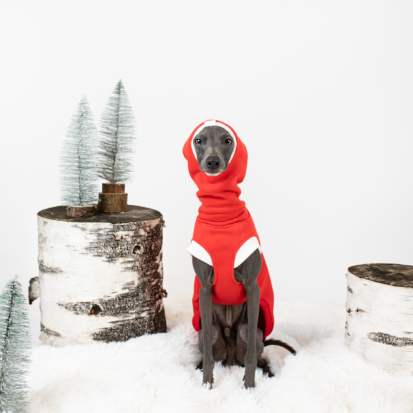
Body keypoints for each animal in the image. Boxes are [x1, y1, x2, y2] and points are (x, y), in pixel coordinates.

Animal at [190, 124, 292, 388]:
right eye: (198, 140)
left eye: (227, 140)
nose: (212, 162)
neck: (221, 215)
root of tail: (230, 360)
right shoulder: (205, 288)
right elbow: (207, 349)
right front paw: (206, 384)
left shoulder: (252, 286)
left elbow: (250, 359)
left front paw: (249, 387)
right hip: (211, 332)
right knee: (210, 343)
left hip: (249, 332)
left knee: (255, 352)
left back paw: (266, 371)